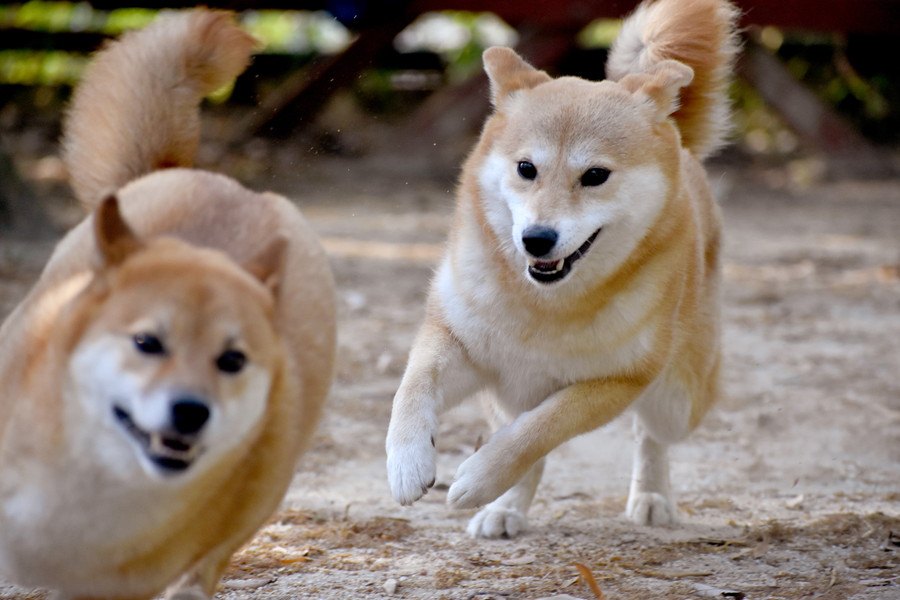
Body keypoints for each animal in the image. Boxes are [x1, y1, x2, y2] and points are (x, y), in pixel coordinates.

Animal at [386, 0, 740, 540]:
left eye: (595, 176)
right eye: (525, 169)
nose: (536, 239)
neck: (544, 306)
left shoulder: (615, 382)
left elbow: (536, 432)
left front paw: (479, 477)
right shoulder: (458, 341)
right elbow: (412, 390)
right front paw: (408, 462)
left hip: (676, 401)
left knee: (650, 436)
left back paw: (652, 496)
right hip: (508, 393)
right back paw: (506, 508)